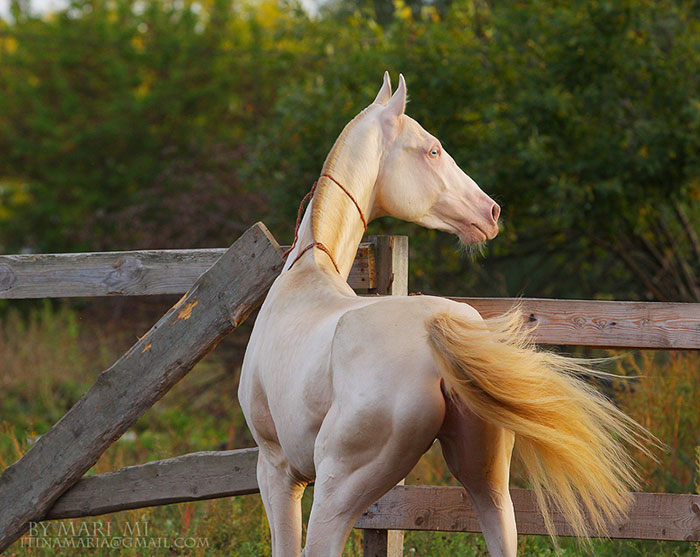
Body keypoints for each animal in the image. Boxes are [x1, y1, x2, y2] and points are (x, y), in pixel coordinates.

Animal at [239, 75, 644, 556]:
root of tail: (442, 333)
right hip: (489, 485)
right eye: (432, 150)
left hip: (337, 490)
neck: (305, 274)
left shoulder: (278, 471)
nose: (491, 212)